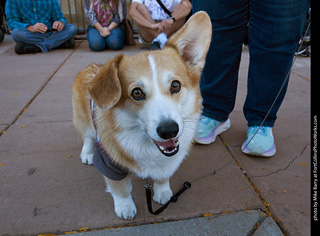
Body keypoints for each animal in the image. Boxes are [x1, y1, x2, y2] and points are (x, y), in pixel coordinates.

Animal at [72, 11, 212, 220]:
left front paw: (163, 192)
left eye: (175, 85)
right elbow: (120, 188)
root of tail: (91, 67)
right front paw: (125, 207)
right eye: (137, 93)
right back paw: (87, 154)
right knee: (87, 137)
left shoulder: (166, 162)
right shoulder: (108, 164)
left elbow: (162, 177)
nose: (169, 131)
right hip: (84, 121)